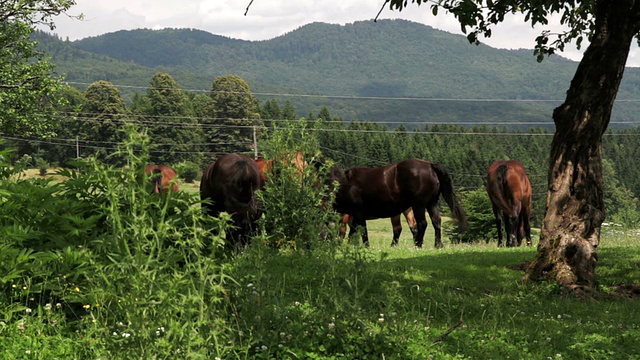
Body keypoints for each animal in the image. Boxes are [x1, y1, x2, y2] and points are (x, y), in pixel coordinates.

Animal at [332, 158, 468, 248]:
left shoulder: (357, 214)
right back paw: (437, 245)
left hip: (418, 205)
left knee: (421, 224)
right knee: (436, 222)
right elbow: (354, 232)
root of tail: (430, 165)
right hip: (432, 203)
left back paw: (418, 245)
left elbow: (360, 231)